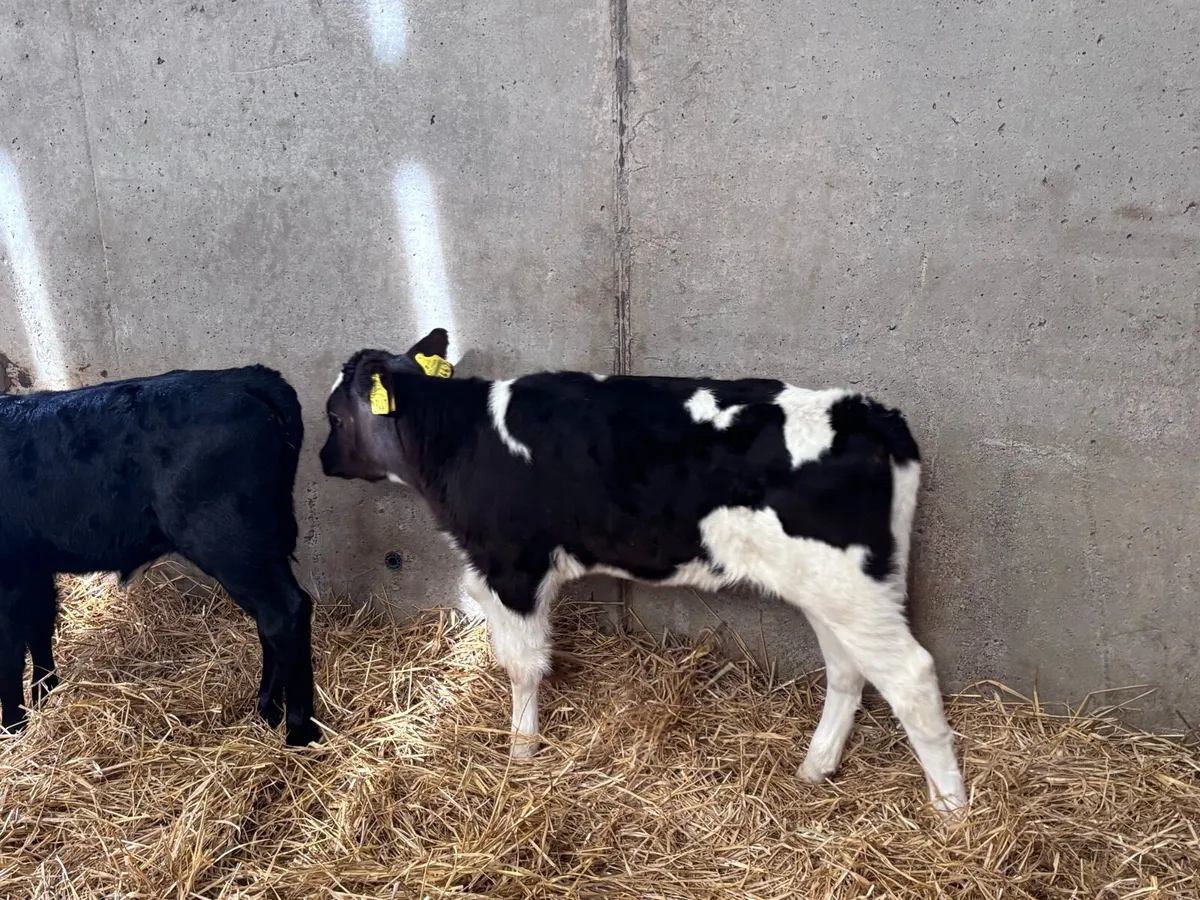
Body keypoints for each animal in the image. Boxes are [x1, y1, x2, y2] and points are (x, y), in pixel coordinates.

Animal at [0, 366, 318, 746]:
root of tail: (249, 377)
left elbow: (9, 655)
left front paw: (12, 727)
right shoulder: (30, 567)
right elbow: (39, 627)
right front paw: (43, 697)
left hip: (230, 541)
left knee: (284, 613)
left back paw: (299, 730)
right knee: (270, 620)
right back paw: (267, 708)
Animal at [319, 329, 967, 815]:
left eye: (333, 414)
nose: (323, 461)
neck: (462, 440)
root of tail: (866, 411)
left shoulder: (513, 564)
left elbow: (523, 666)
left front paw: (521, 751)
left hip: (848, 586)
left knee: (910, 674)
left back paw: (951, 808)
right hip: (834, 587)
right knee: (848, 670)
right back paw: (816, 767)